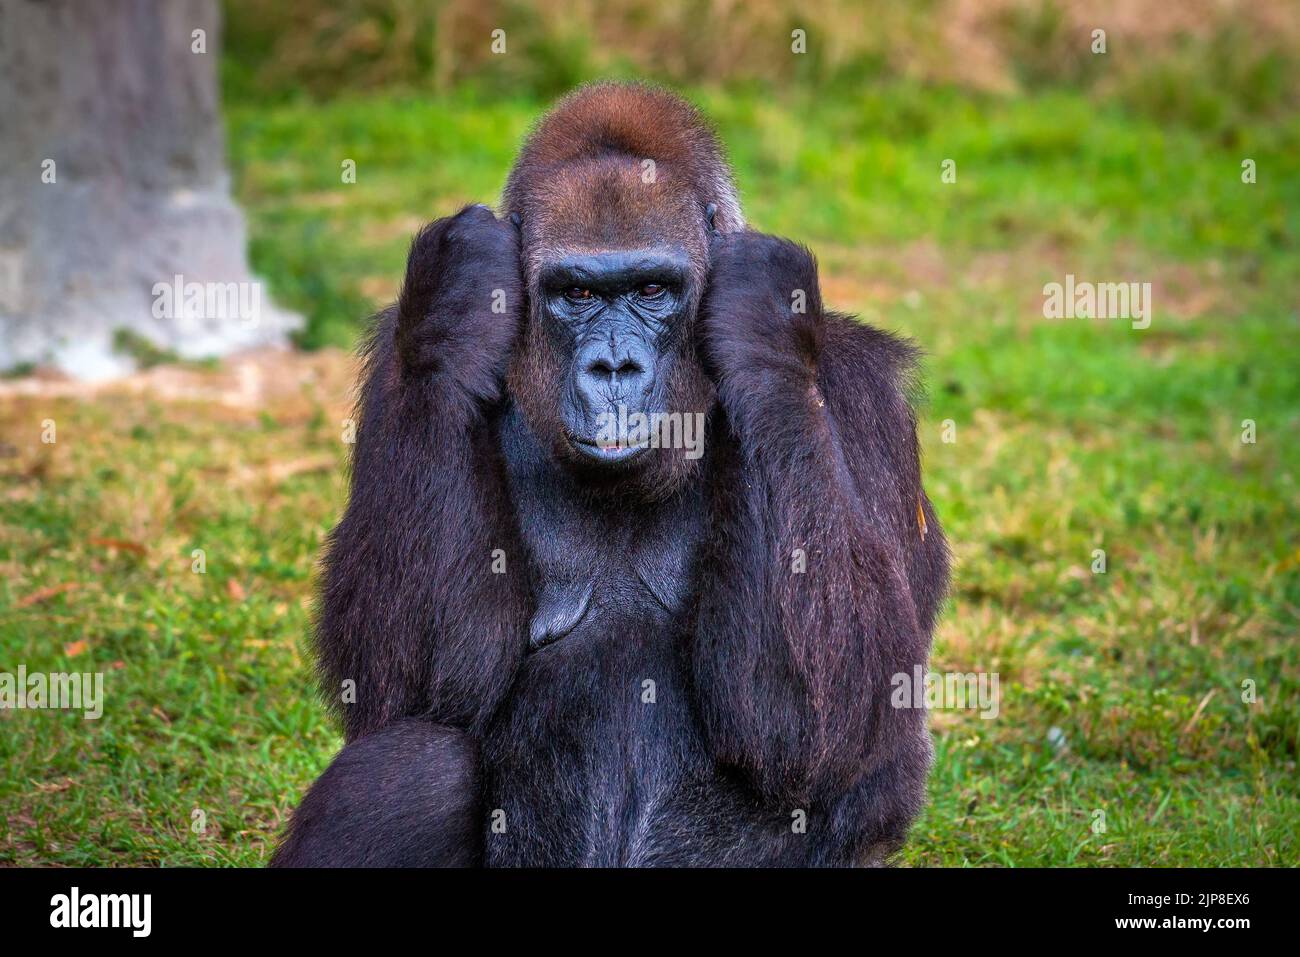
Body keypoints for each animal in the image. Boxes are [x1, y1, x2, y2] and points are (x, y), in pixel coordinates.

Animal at [271, 82, 946, 868]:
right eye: (578, 295)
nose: (613, 367)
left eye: (653, 289)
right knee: (416, 760)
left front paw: (765, 331)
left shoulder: (861, 387)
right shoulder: (393, 360)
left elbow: (834, 724)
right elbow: (413, 683)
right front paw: (454, 305)